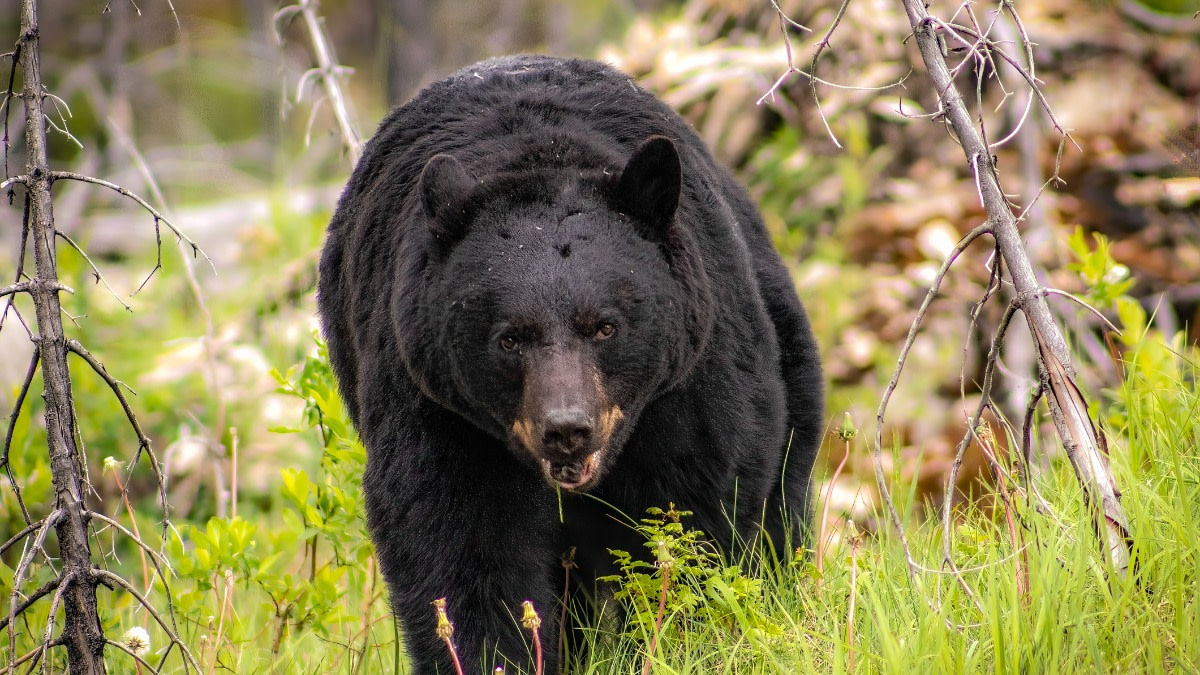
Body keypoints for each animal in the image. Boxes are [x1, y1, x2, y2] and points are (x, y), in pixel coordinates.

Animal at [317, 54, 823, 674]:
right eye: (510, 339)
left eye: (606, 326)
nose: (566, 429)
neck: (540, 156)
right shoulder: (433, 399)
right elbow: (460, 542)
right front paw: (495, 655)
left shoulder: (693, 377)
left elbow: (696, 511)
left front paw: (684, 640)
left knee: (783, 501)